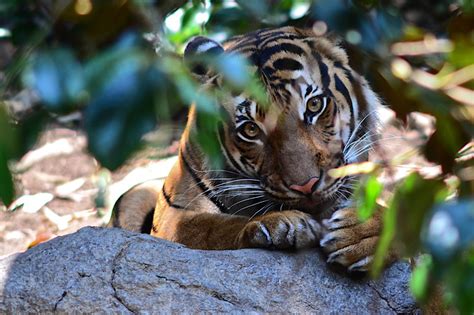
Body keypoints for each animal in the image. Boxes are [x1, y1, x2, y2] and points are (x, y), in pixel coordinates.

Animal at [111, 27, 392, 272]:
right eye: (250, 129)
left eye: (314, 105)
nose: (306, 186)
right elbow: (211, 226)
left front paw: (362, 232)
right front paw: (277, 224)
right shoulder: (172, 218)